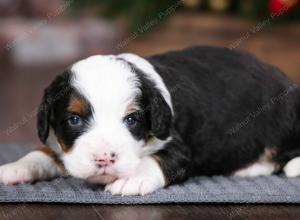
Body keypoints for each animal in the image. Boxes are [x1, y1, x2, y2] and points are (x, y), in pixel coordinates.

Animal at [0, 45, 300, 195]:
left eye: (132, 119)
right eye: (74, 119)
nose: (105, 158)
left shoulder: (179, 146)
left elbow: (156, 159)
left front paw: (131, 179)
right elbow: (43, 151)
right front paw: (15, 168)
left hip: (285, 114)